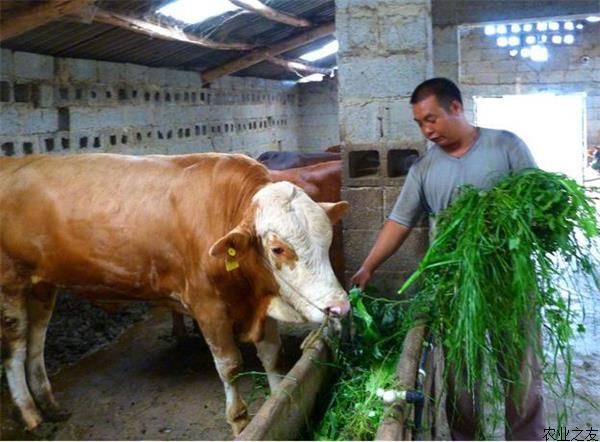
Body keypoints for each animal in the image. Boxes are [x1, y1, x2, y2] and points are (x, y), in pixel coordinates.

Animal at [0, 153, 350, 436]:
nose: (339, 307)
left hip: (42, 285)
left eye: (328, 238)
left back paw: (49, 404)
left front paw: (277, 398)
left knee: (36, 341)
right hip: (10, 284)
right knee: (15, 349)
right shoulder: (207, 306)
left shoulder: (257, 298)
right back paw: (31, 415)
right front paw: (239, 420)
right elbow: (229, 365)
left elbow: (272, 355)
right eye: (278, 248)